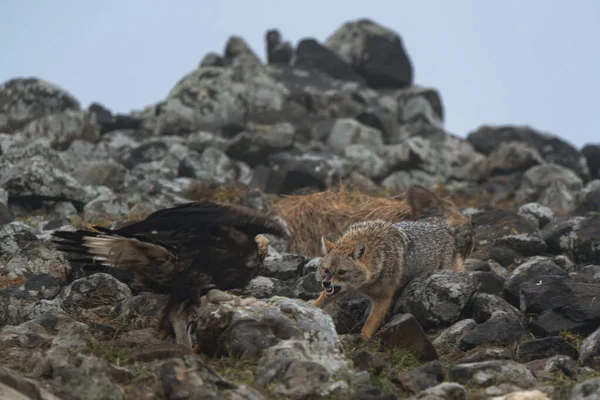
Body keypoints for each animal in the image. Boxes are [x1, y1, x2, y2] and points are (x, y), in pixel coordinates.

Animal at [312, 185, 472, 340]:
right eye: (326, 270)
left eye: (341, 272)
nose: (325, 283)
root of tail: (441, 226)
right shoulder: (338, 290)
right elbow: (318, 302)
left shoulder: (383, 299)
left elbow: (367, 329)